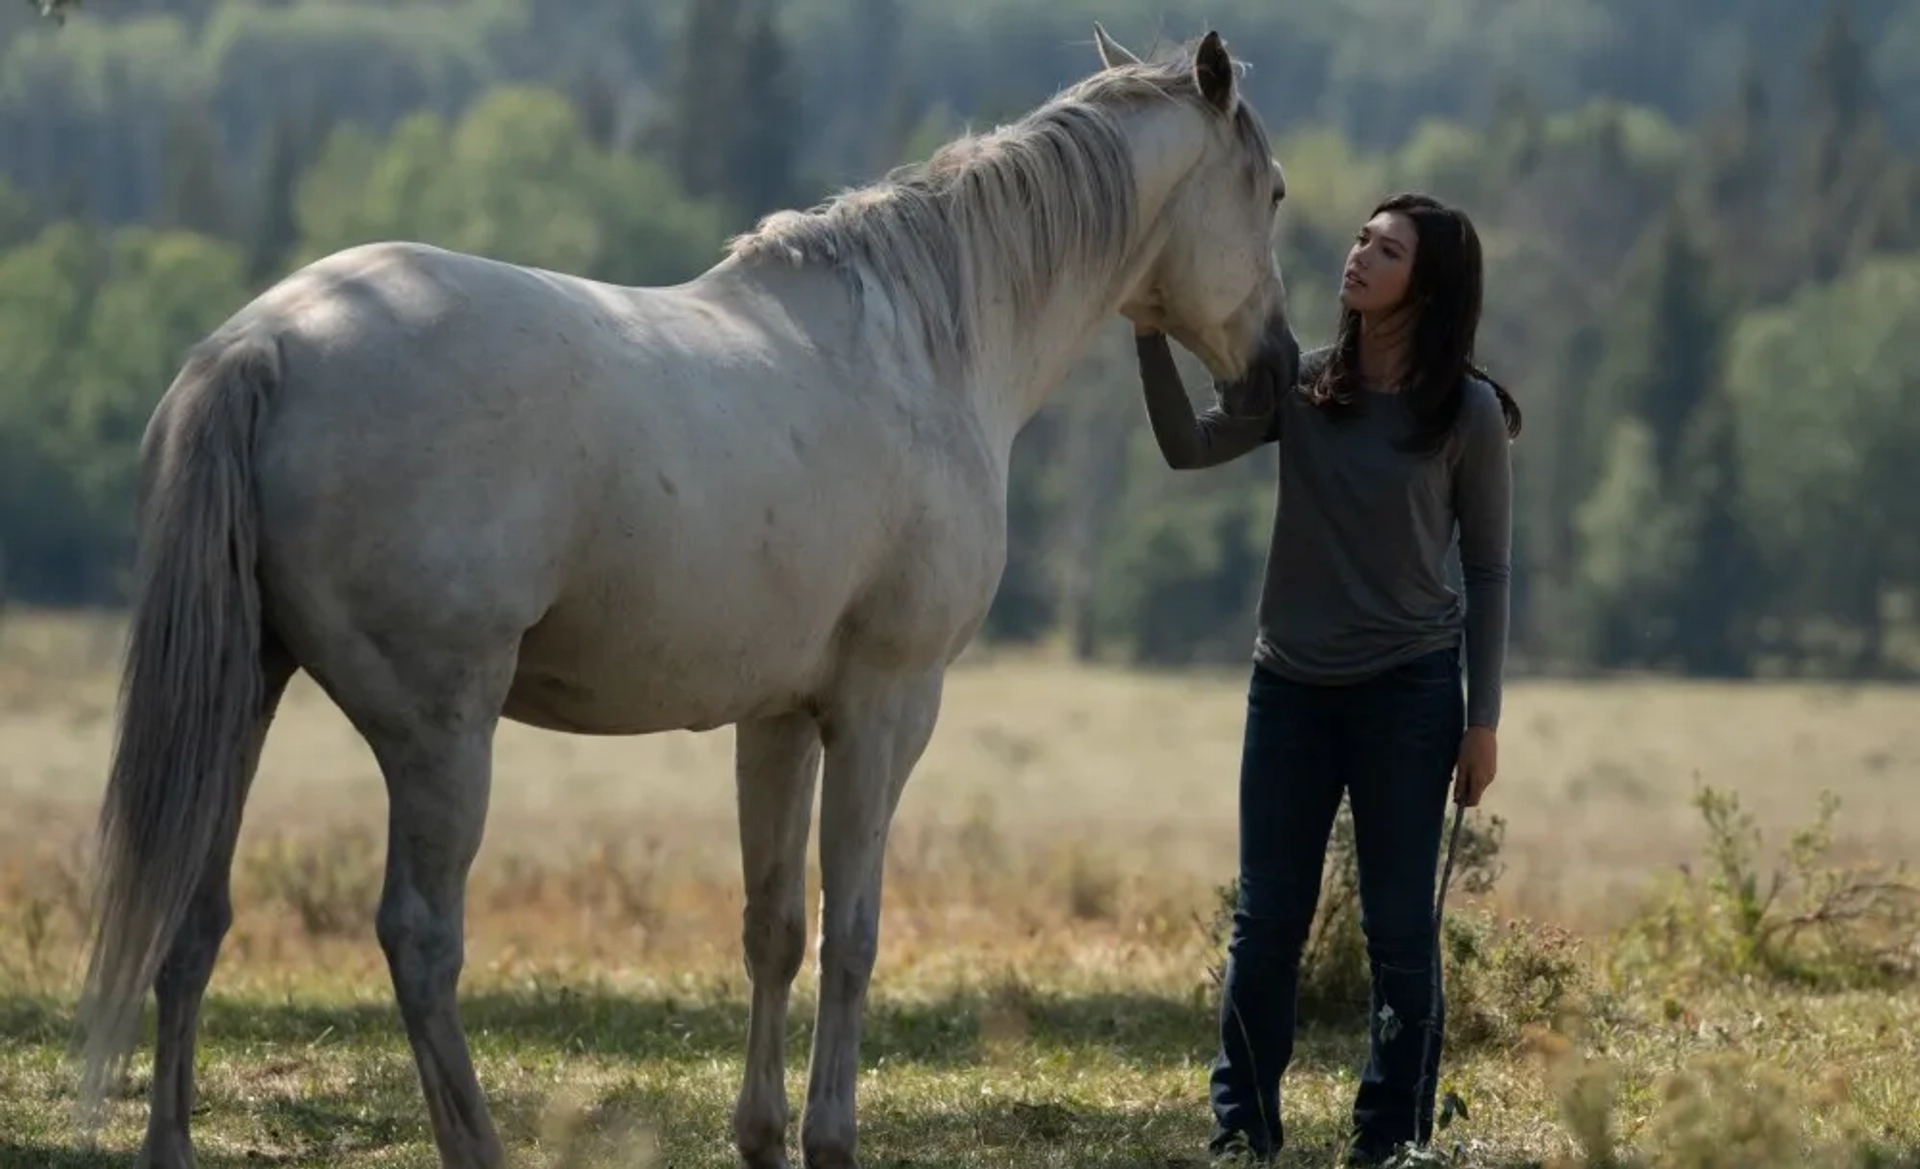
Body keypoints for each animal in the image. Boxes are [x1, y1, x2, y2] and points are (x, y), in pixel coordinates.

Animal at [74, 20, 1305, 1167]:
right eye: (1277, 191)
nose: (1279, 375)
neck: (929, 345)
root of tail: (263, 345)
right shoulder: (886, 708)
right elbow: (855, 931)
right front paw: (829, 1133)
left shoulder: (780, 718)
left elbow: (776, 925)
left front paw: (760, 1132)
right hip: (440, 734)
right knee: (420, 938)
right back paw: (477, 1139)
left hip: (245, 693)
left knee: (192, 914)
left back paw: (172, 1139)